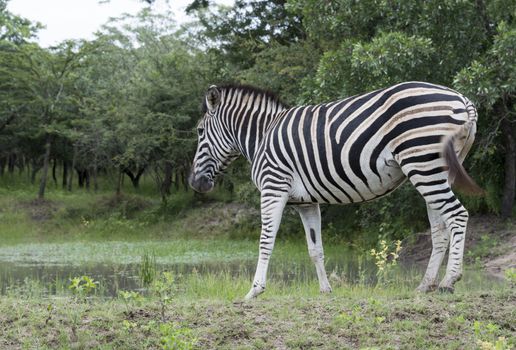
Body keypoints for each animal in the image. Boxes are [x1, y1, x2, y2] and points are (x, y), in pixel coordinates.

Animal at [188, 80, 480, 300]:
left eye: (200, 131)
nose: (194, 183)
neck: (262, 136)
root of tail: (462, 99)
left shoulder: (273, 187)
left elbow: (265, 241)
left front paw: (254, 290)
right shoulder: (306, 203)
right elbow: (315, 248)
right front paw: (325, 290)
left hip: (422, 163)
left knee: (457, 215)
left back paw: (449, 281)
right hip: (436, 170)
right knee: (440, 228)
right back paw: (426, 285)